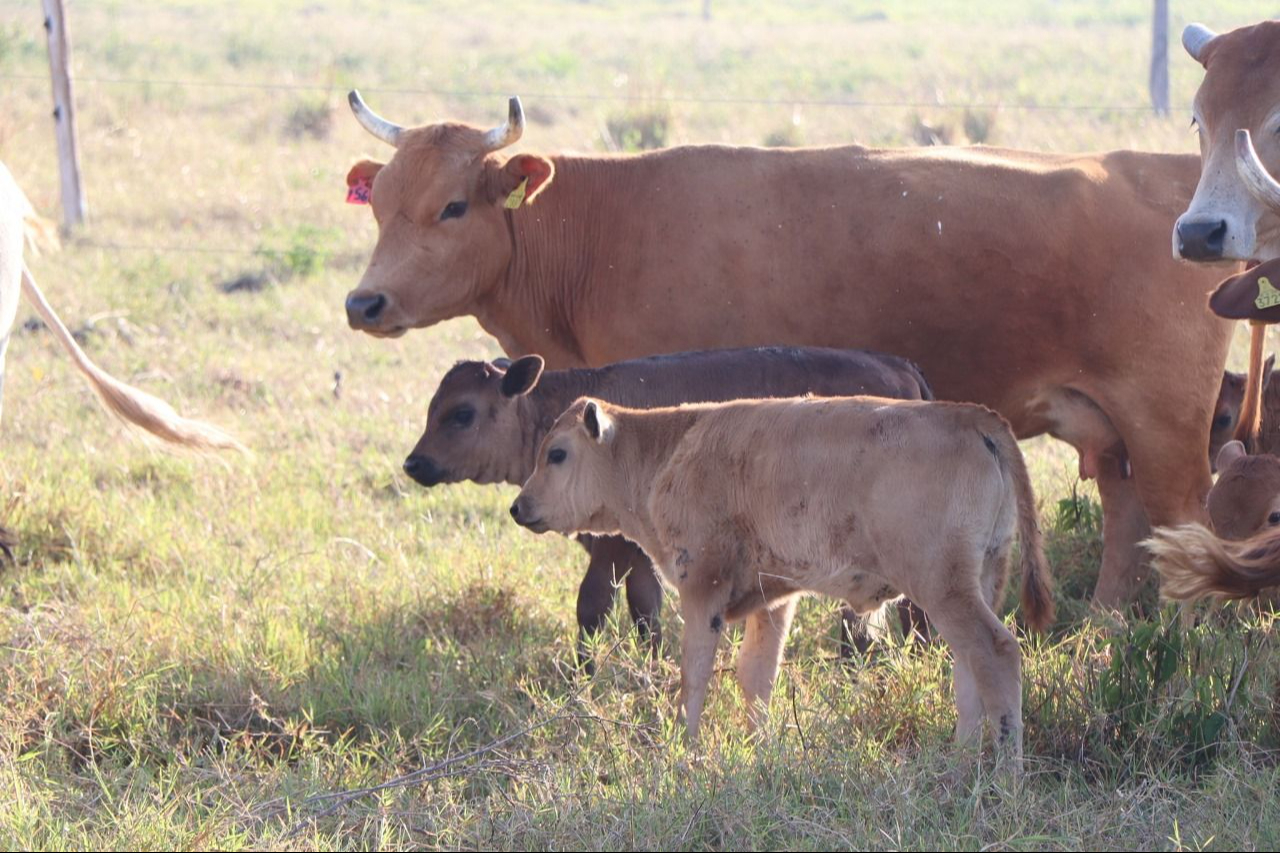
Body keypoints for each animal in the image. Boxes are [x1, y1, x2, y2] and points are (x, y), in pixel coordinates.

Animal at [340, 91, 1228, 604]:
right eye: (379, 202)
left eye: (453, 206)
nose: (363, 301)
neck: (602, 230)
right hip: (1113, 431)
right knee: (1128, 517)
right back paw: (1109, 624)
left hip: (1168, 426)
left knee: (1185, 521)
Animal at [404, 343, 936, 660]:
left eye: (462, 413)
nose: (414, 463)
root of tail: (901, 367)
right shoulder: (639, 548)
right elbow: (645, 607)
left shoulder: (613, 546)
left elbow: (592, 606)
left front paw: (580, 676)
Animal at [514, 394, 1054, 768]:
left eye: (557, 453)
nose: (519, 508)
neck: (667, 448)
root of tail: (972, 416)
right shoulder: (771, 600)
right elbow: (758, 675)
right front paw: (759, 750)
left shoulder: (702, 589)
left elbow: (695, 674)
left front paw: (683, 750)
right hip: (977, 582)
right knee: (969, 668)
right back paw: (958, 765)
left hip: (944, 590)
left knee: (996, 652)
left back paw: (1005, 776)